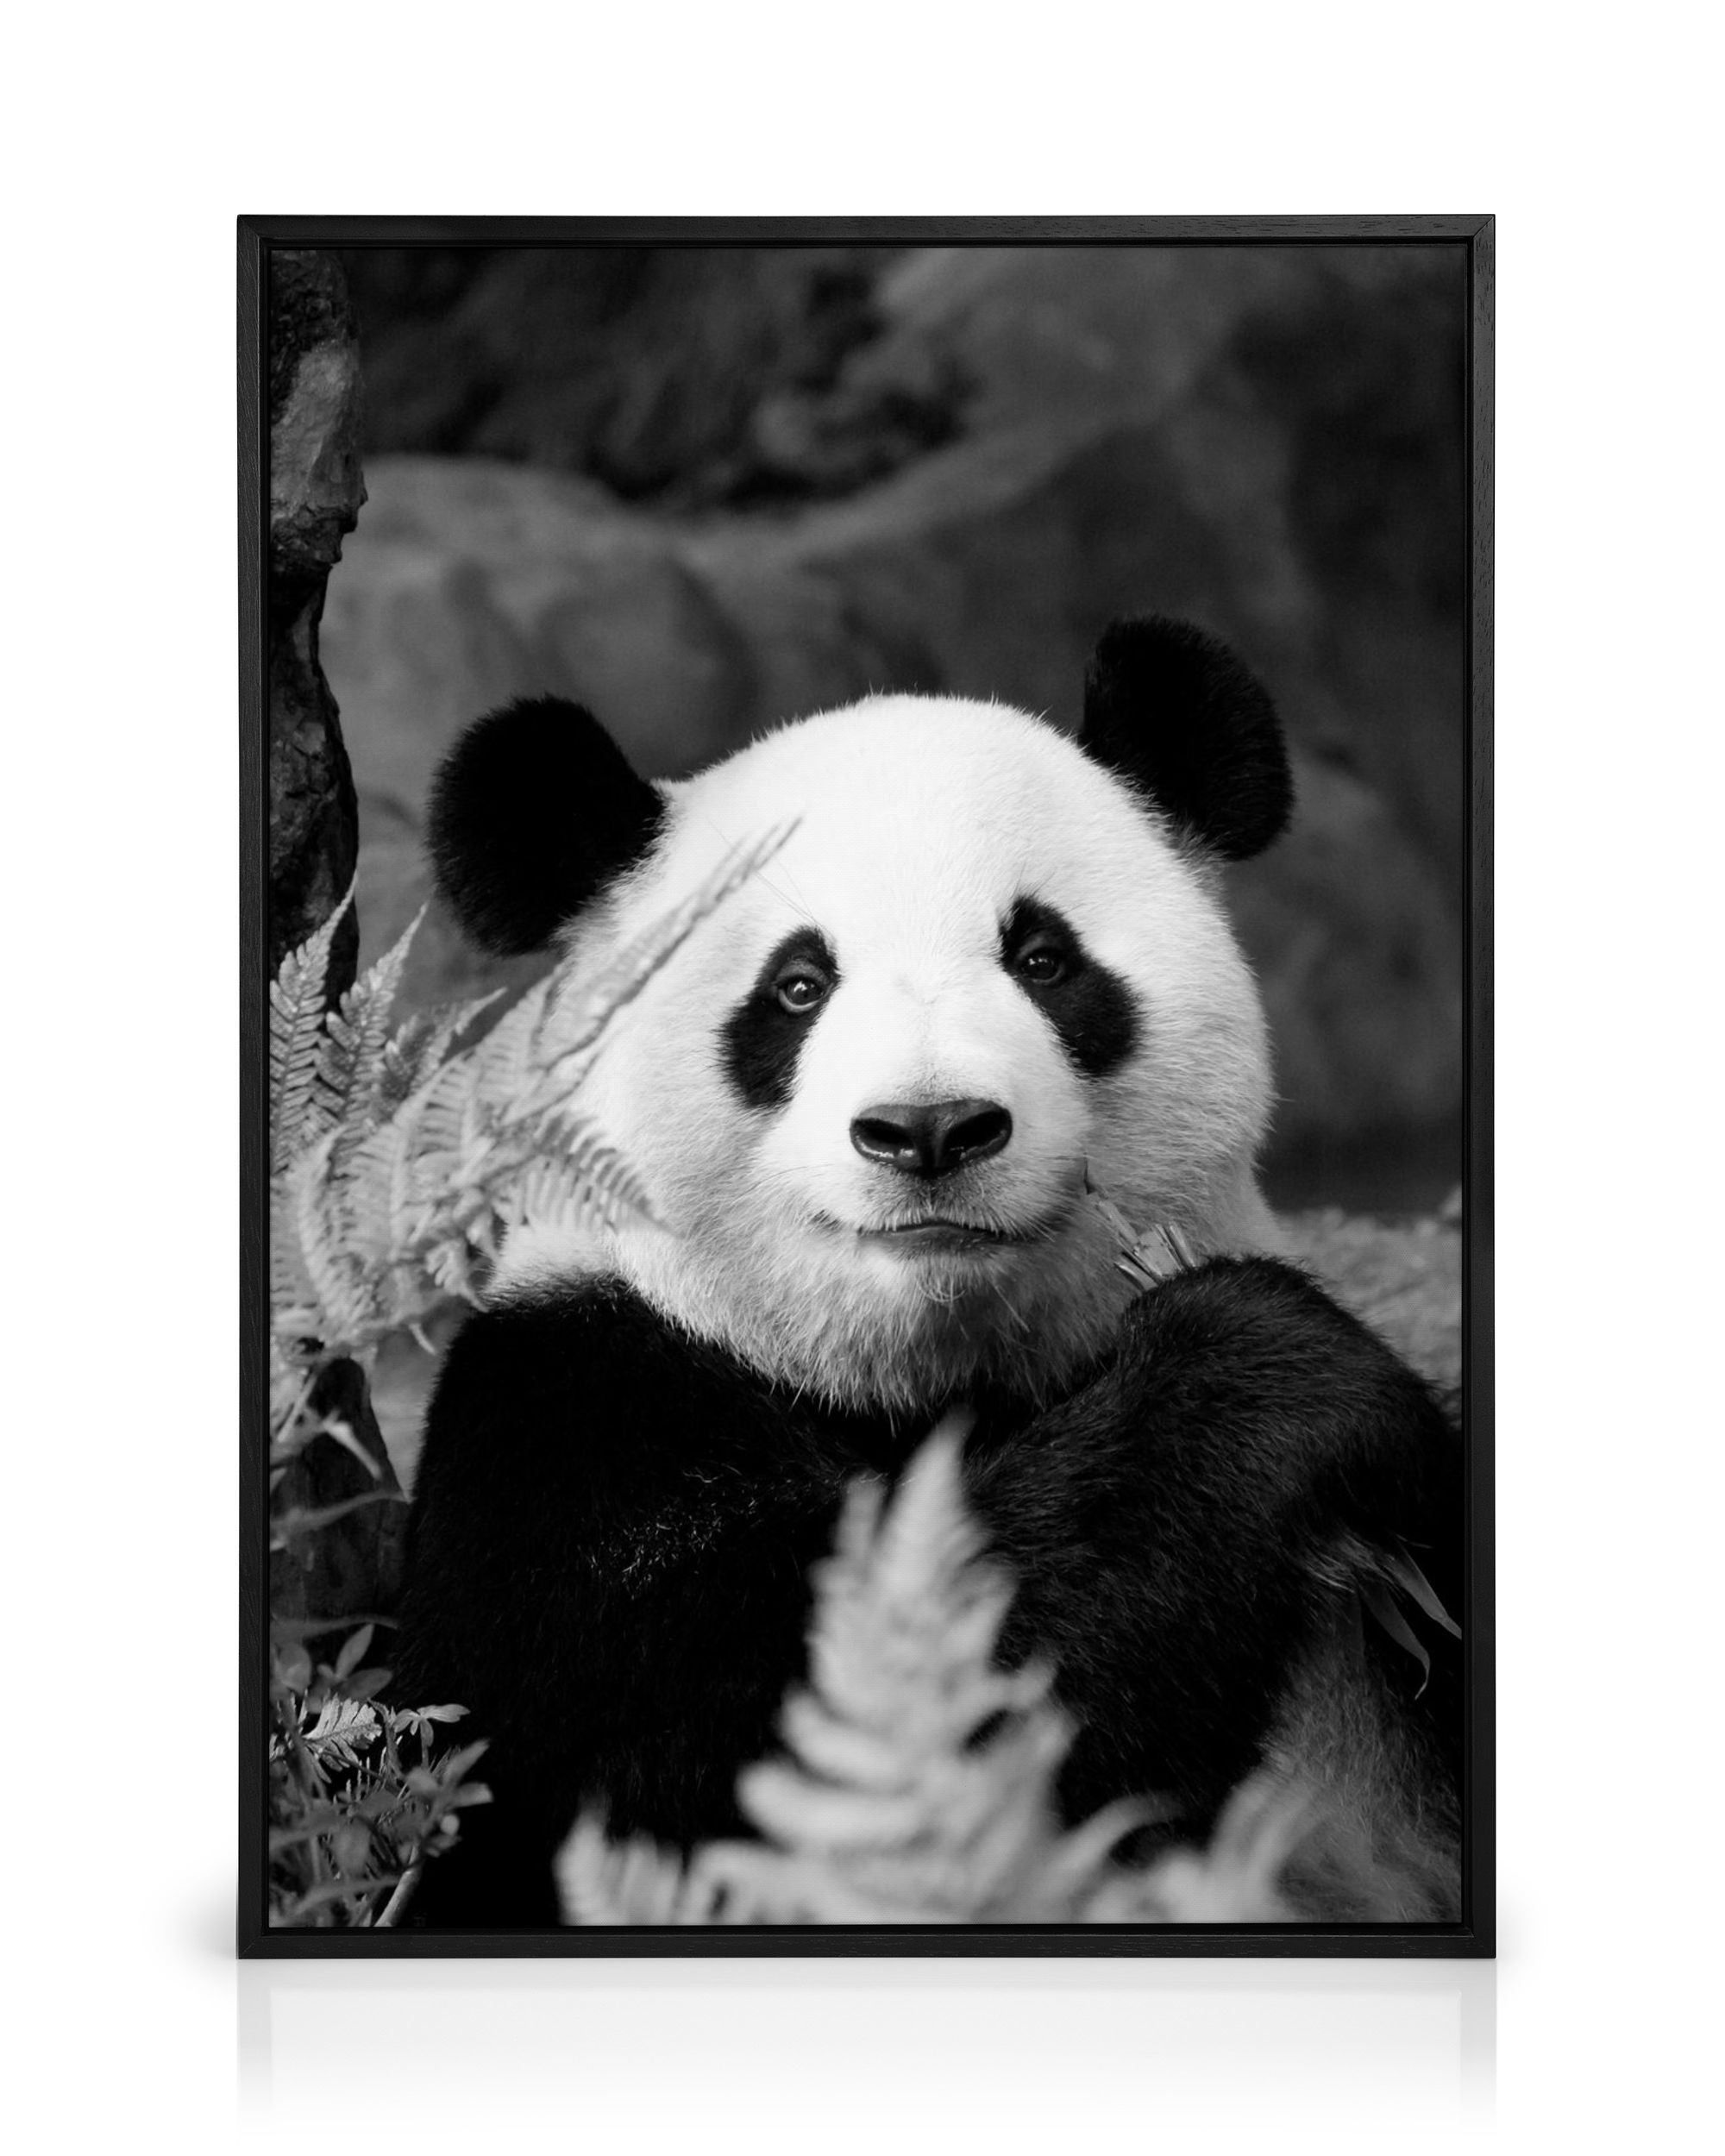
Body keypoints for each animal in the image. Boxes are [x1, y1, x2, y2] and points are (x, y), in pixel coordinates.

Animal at [393, 616, 1463, 1929]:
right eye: (797, 986)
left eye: (1043, 957)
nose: (932, 1129)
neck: (924, 1372)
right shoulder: (569, 1418)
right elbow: (766, 1743)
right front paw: (1266, 1374)